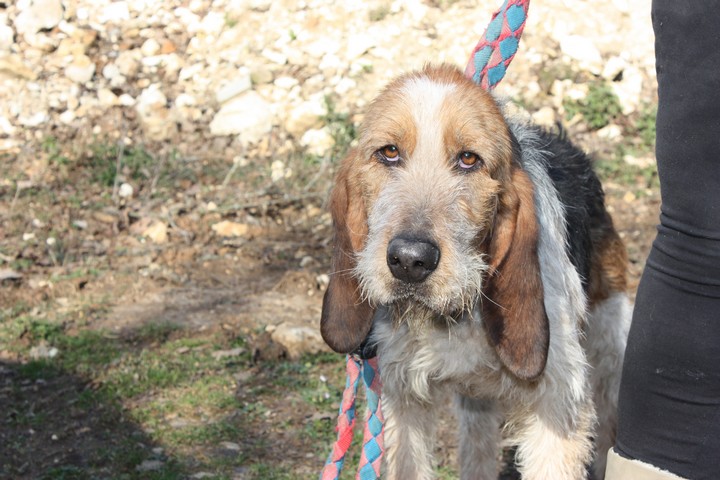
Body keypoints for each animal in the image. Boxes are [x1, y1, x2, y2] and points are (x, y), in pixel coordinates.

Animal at [320, 64, 632, 480]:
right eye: (389, 152)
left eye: (469, 159)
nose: (410, 260)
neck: (458, 315)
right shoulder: (403, 397)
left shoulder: (557, 407)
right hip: (476, 407)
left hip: (610, 343)